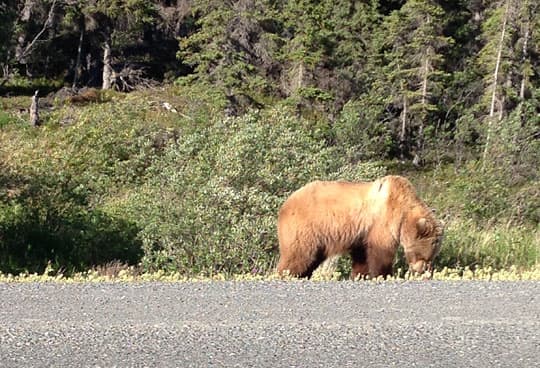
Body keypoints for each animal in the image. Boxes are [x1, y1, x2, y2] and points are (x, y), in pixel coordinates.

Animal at [278, 175, 442, 278]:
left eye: (433, 254)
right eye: (424, 252)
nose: (423, 270)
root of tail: (285, 204)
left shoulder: (361, 235)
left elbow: (362, 259)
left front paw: (360, 275)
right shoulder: (382, 222)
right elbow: (381, 253)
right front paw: (383, 274)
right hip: (305, 227)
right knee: (298, 256)